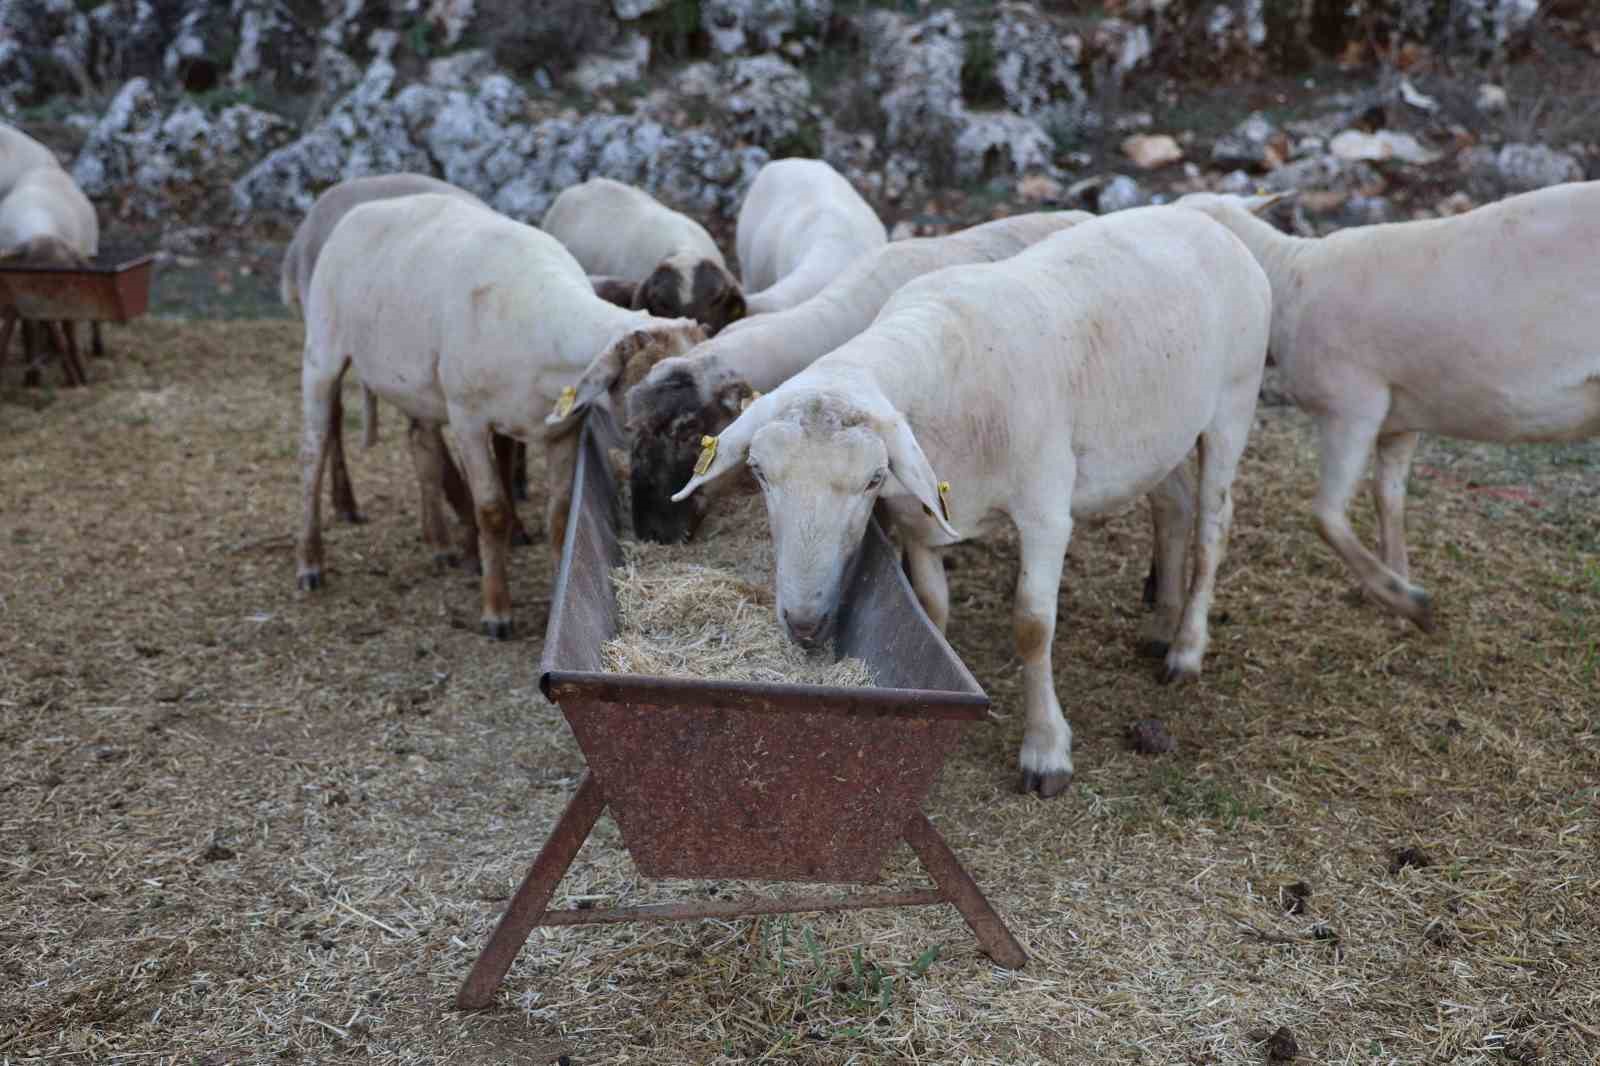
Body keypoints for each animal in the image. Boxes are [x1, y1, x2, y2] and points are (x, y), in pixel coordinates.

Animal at [297, 192, 704, 630]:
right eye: (642, 413)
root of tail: (365, 206)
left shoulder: (565, 429)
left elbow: (561, 516)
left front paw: (559, 593)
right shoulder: (468, 420)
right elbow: (491, 510)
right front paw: (496, 610)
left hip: (417, 387)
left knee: (421, 445)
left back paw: (440, 544)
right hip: (322, 352)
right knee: (313, 452)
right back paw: (310, 563)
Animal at [668, 204, 1267, 797]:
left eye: (872, 479)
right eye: (759, 473)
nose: (805, 625)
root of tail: (1200, 216)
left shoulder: (1046, 513)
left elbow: (1033, 625)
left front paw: (1045, 751)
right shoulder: (918, 518)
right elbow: (932, 607)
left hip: (1232, 406)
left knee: (1214, 527)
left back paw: (1185, 649)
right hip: (1158, 435)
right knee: (1174, 505)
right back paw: (1161, 624)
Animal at [1177, 185, 1600, 627]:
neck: (1286, 277)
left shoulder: (1352, 405)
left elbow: (1326, 516)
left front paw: (1407, 600)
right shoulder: (1399, 419)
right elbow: (1388, 498)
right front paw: (1397, 587)